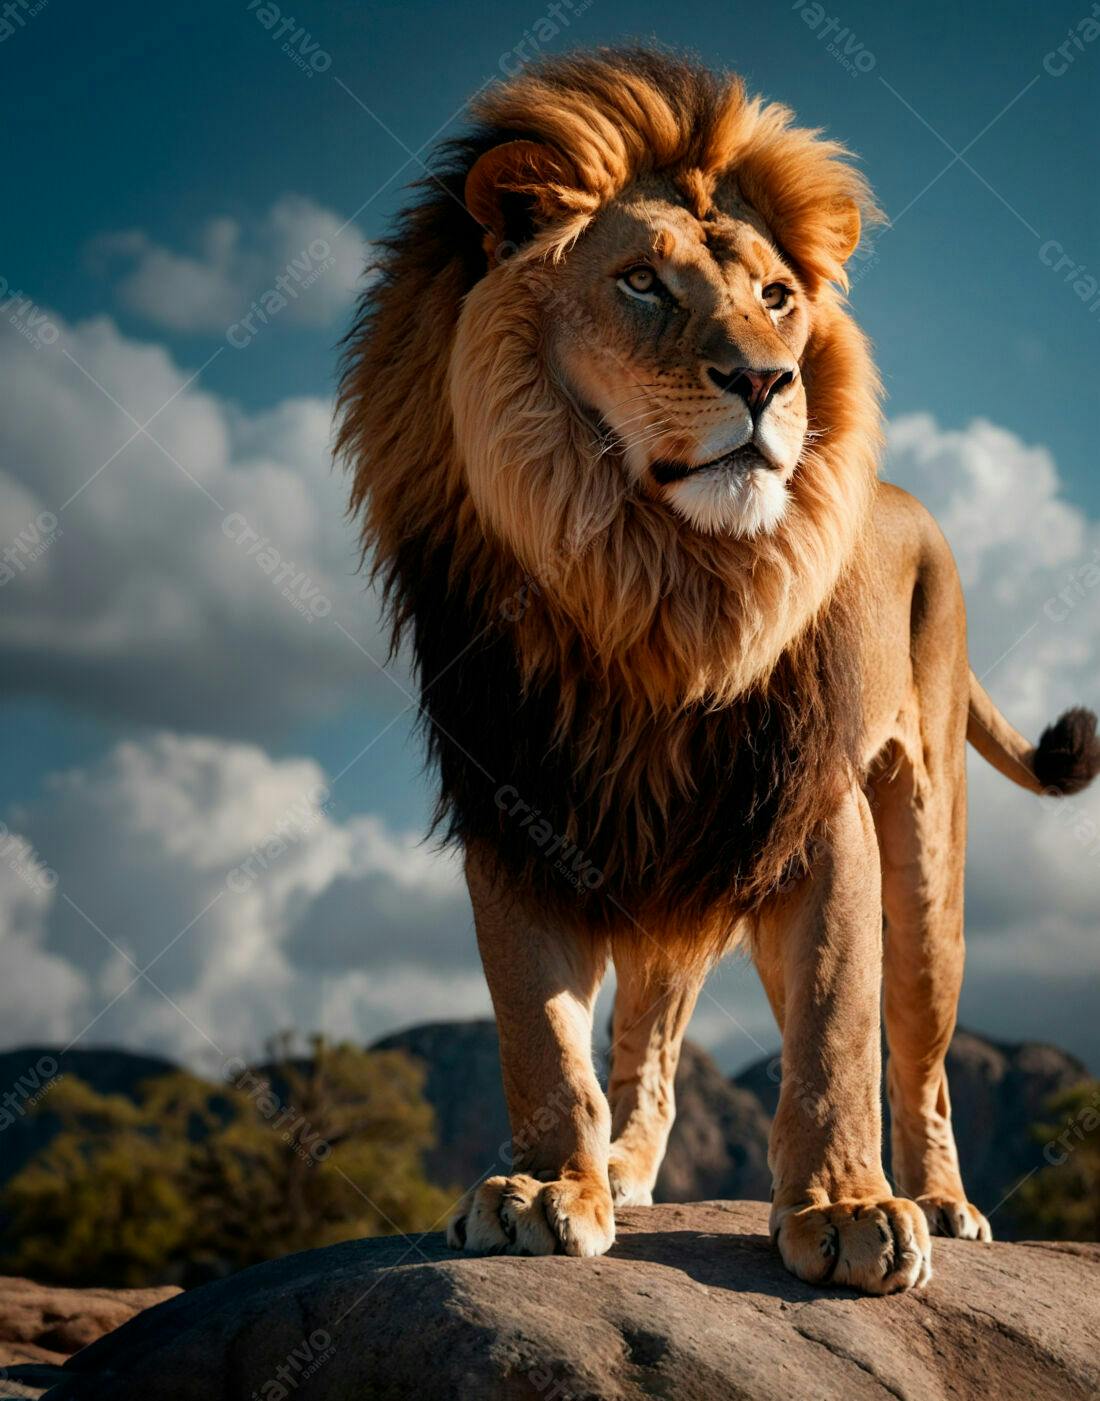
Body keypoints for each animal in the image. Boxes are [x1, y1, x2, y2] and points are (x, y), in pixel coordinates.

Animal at [337, 49, 1100, 1295]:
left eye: (777, 297)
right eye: (642, 282)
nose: (766, 381)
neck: (656, 586)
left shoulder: (809, 813)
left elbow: (835, 1028)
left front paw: (846, 1209)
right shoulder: (517, 804)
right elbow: (540, 1037)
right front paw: (547, 1186)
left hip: (923, 864)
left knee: (919, 1055)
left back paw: (939, 1200)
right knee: (648, 1041)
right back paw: (625, 1172)